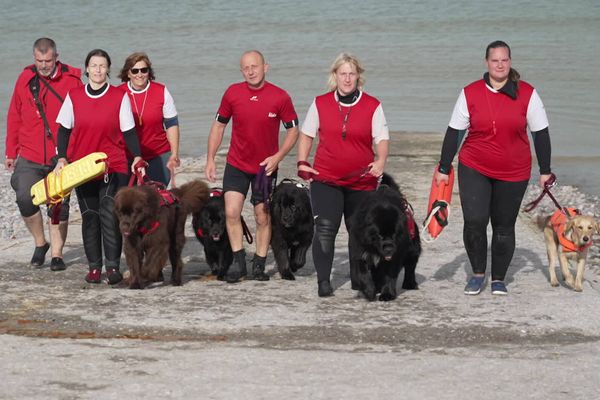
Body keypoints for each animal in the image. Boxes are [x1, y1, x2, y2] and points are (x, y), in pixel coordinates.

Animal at [350, 173, 420, 302]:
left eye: (394, 234)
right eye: (379, 235)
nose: (388, 248)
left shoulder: (396, 255)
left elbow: (390, 275)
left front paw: (387, 294)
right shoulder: (360, 250)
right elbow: (363, 274)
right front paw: (369, 292)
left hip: (413, 248)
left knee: (410, 267)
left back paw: (410, 284)